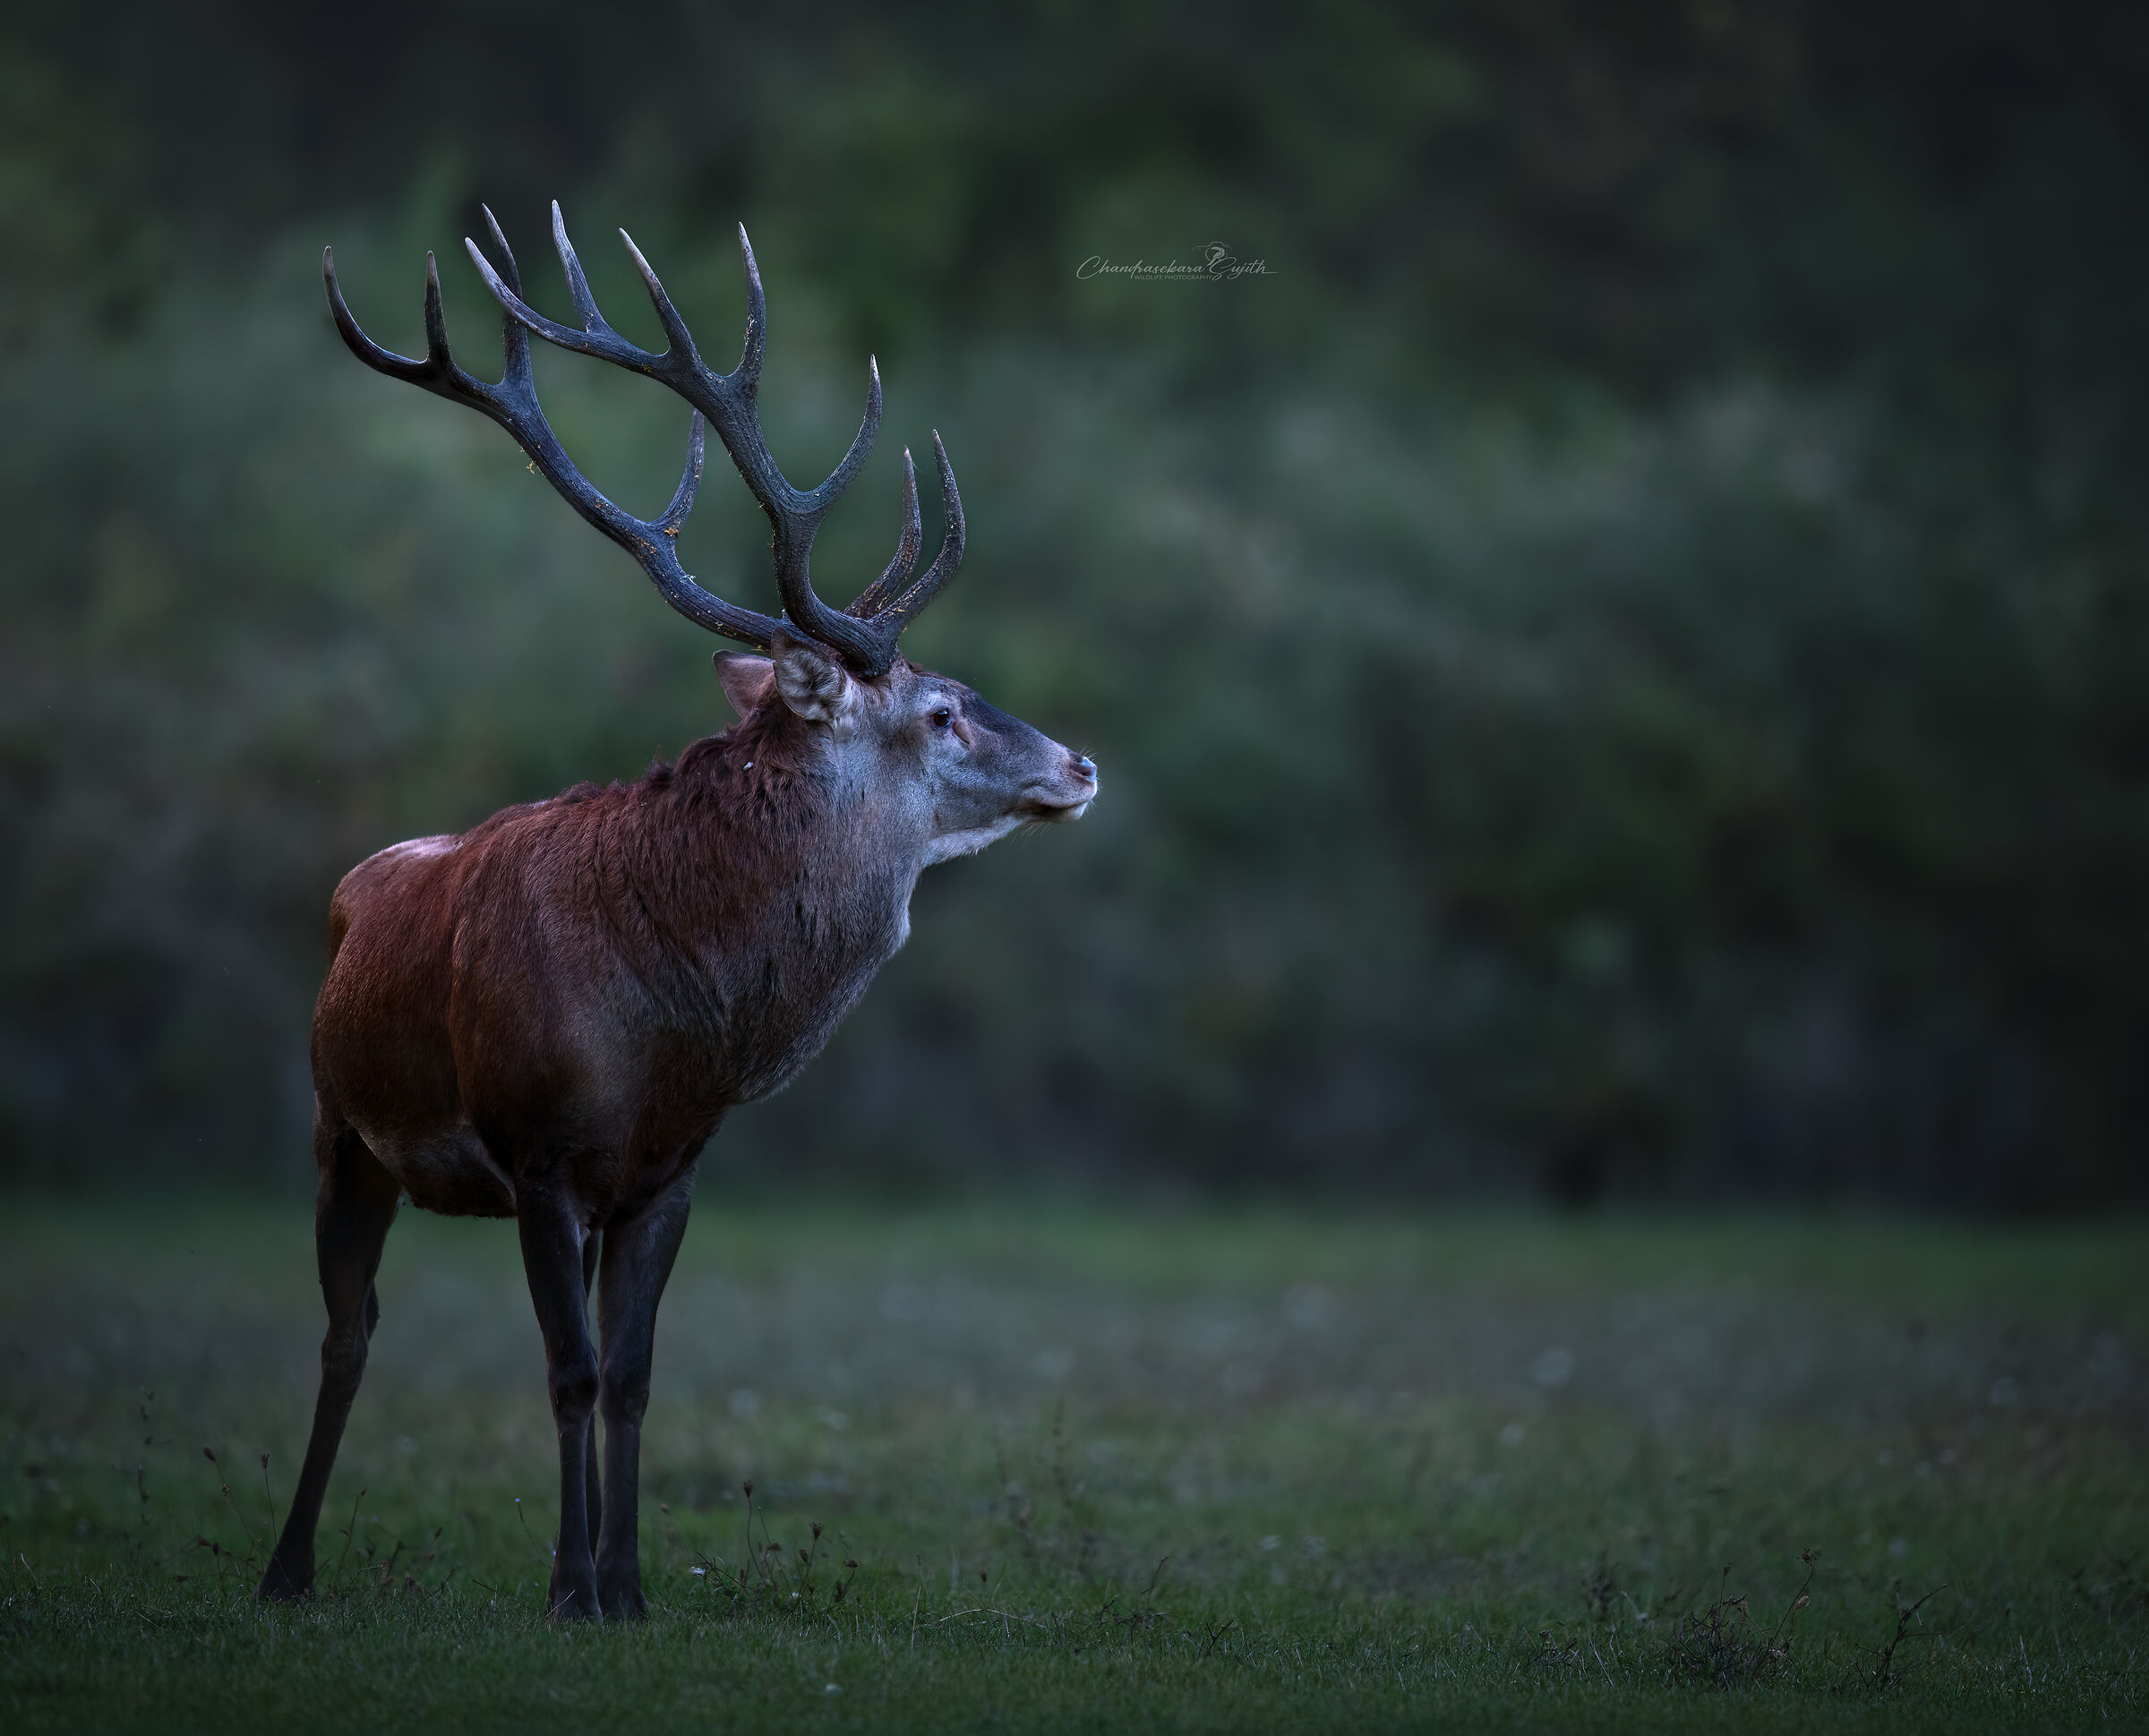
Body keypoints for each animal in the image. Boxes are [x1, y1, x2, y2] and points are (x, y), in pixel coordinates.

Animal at [256, 205, 1097, 1618]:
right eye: (942, 710)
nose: (1082, 765)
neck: (671, 1032)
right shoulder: (539, 1150)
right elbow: (570, 1371)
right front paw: (566, 1589)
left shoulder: (668, 1174)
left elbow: (638, 1377)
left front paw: (630, 1588)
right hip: (337, 1128)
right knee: (344, 1334)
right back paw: (287, 1565)